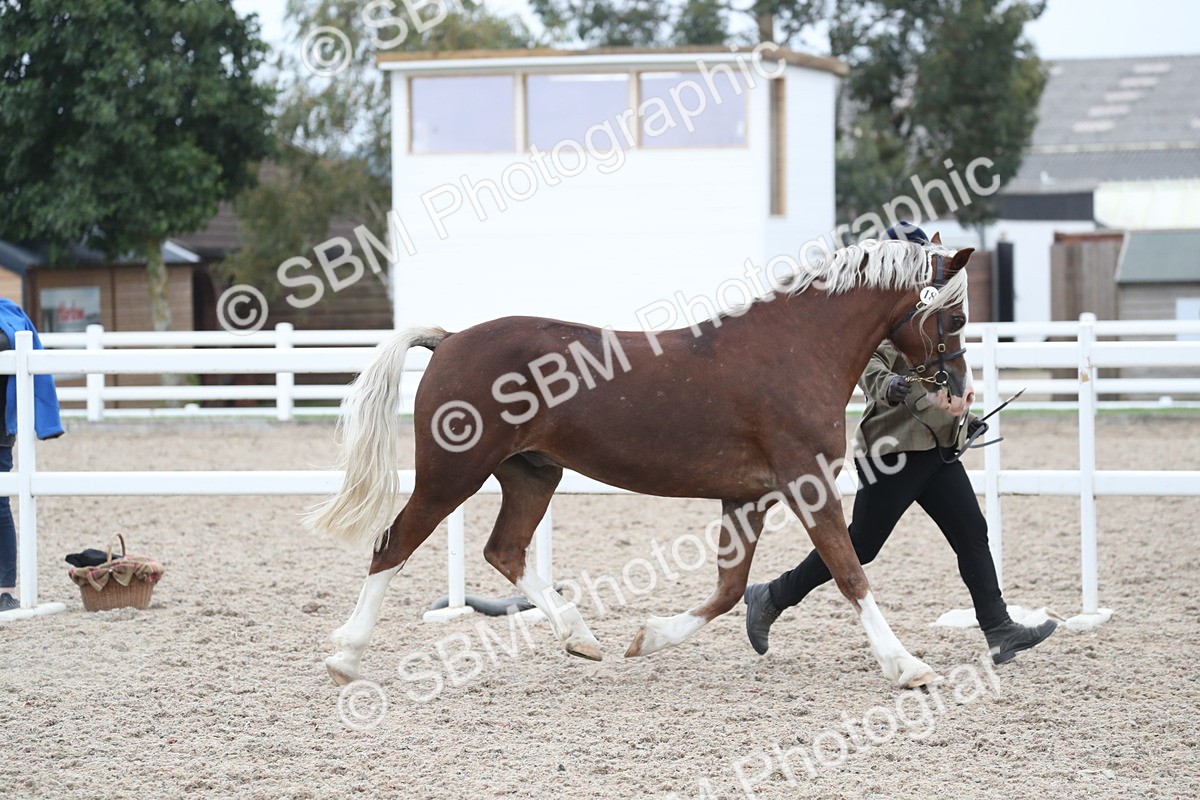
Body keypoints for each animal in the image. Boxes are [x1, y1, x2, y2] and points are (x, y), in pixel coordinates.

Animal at [306, 236, 976, 689]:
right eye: (957, 316)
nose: (960, 397)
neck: (797, 350)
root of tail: (448, 341)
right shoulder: (805, 483)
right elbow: (849, 571)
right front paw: (907, 666)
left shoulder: (748, 496)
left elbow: (729, 590)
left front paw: (647, 639)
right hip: (452, 475)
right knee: (392, 544)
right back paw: (344, 658)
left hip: (532, 472)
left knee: (505, 550)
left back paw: (580, 638)